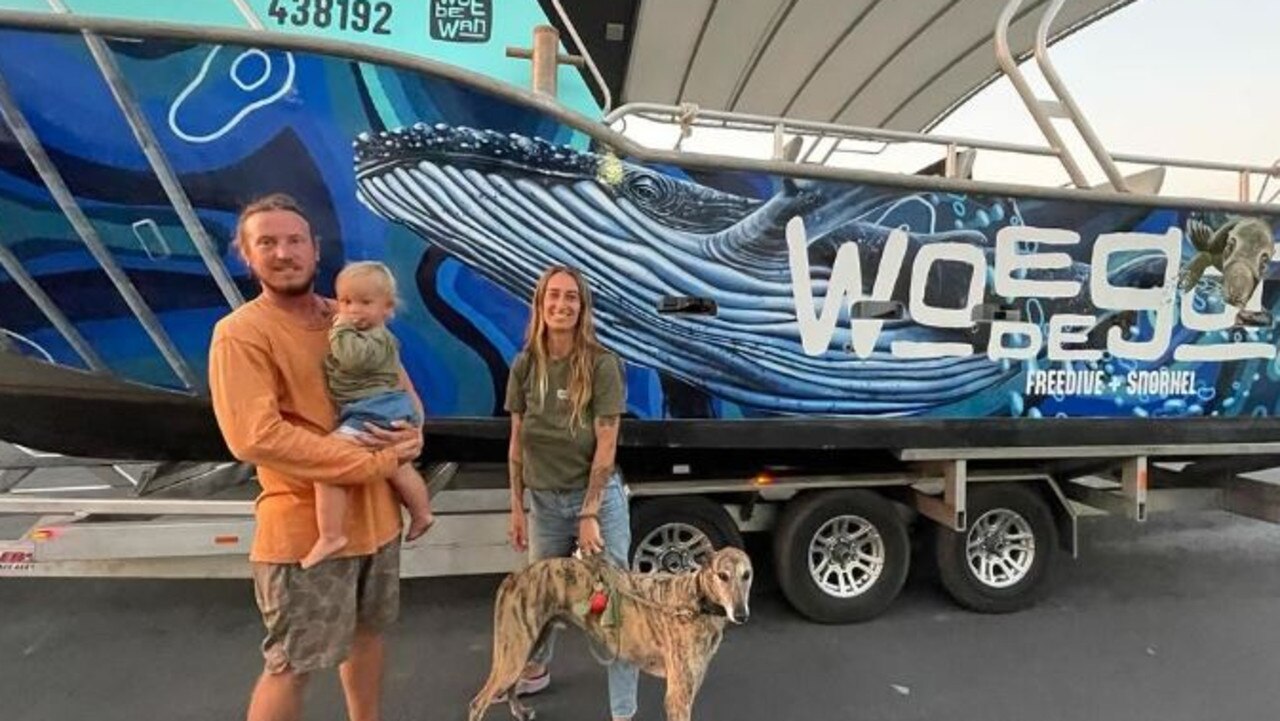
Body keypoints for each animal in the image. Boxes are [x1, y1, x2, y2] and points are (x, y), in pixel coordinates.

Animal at [468, 548, 747, 721]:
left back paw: (521, 711)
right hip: (514, 653)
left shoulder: (689, 688)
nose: (741, 614)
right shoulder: (678, 697)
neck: (696, 600)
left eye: (747, 575)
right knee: (477, 703)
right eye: (722, 575)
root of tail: (513, 577)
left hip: (528, 645)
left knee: (511, 686)